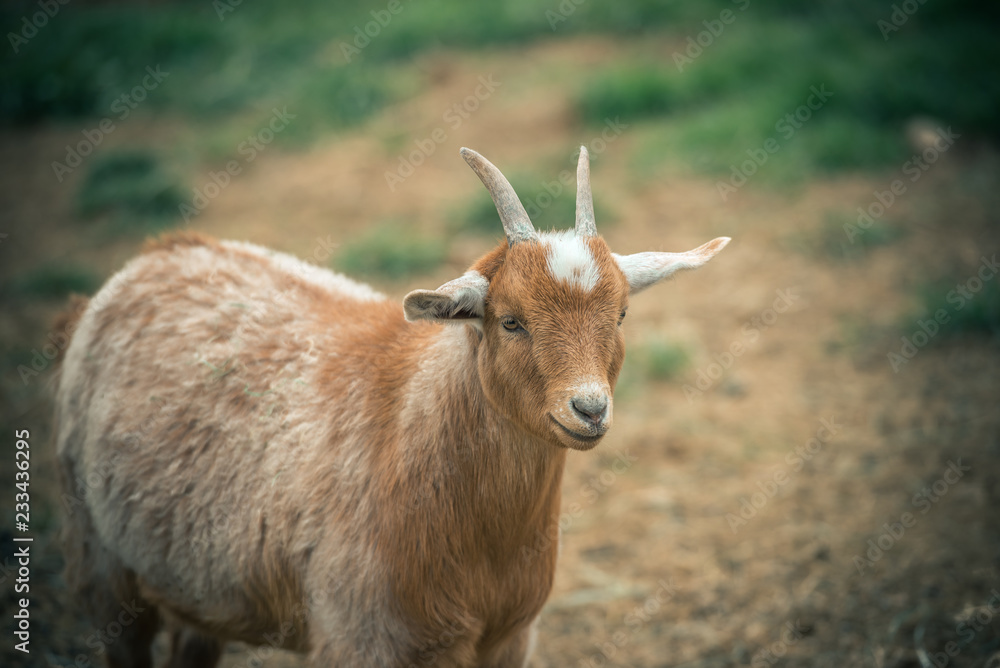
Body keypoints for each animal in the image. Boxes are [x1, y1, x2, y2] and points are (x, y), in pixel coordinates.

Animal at [54, 147, 728, 668]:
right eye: (511, 321)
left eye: (621, 314)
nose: (588, 409)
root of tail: (154, 255)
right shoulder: (363, 639)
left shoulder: (508, 638)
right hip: (101, 560)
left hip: (198, 583)